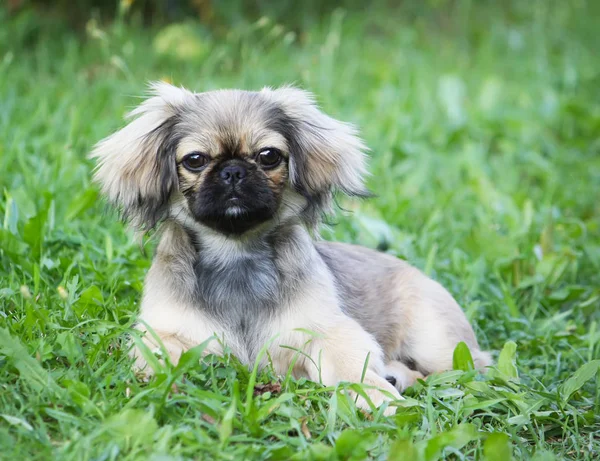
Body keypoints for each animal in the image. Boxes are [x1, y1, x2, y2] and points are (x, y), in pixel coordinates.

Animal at [90, 82, 492, 414]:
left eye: (268, 156)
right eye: (195, 160)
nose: (233, 172)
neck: (236, 254)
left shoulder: (327, 332)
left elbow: (352, 369)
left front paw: (375, 396)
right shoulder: (165, 334)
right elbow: (158, 361)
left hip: (438, 346)